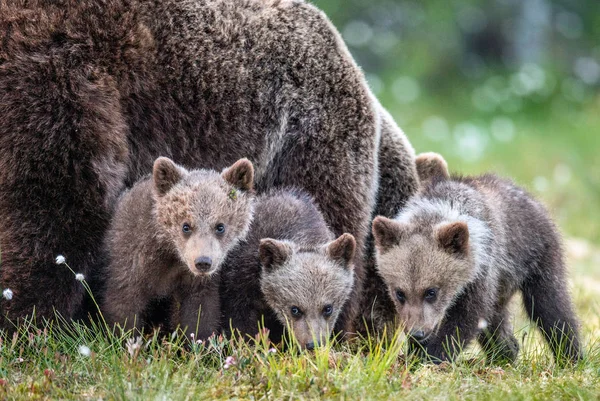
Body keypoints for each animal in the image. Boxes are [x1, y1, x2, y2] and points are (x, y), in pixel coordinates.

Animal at [102, 156, 254, 338]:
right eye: (186, 226)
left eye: (220, 226)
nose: (203, 262)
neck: (170, 252)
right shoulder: (132, 256)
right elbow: (124, 303)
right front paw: (124, 336)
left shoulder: (194, 281)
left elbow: (199, 311)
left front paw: (198, 339)